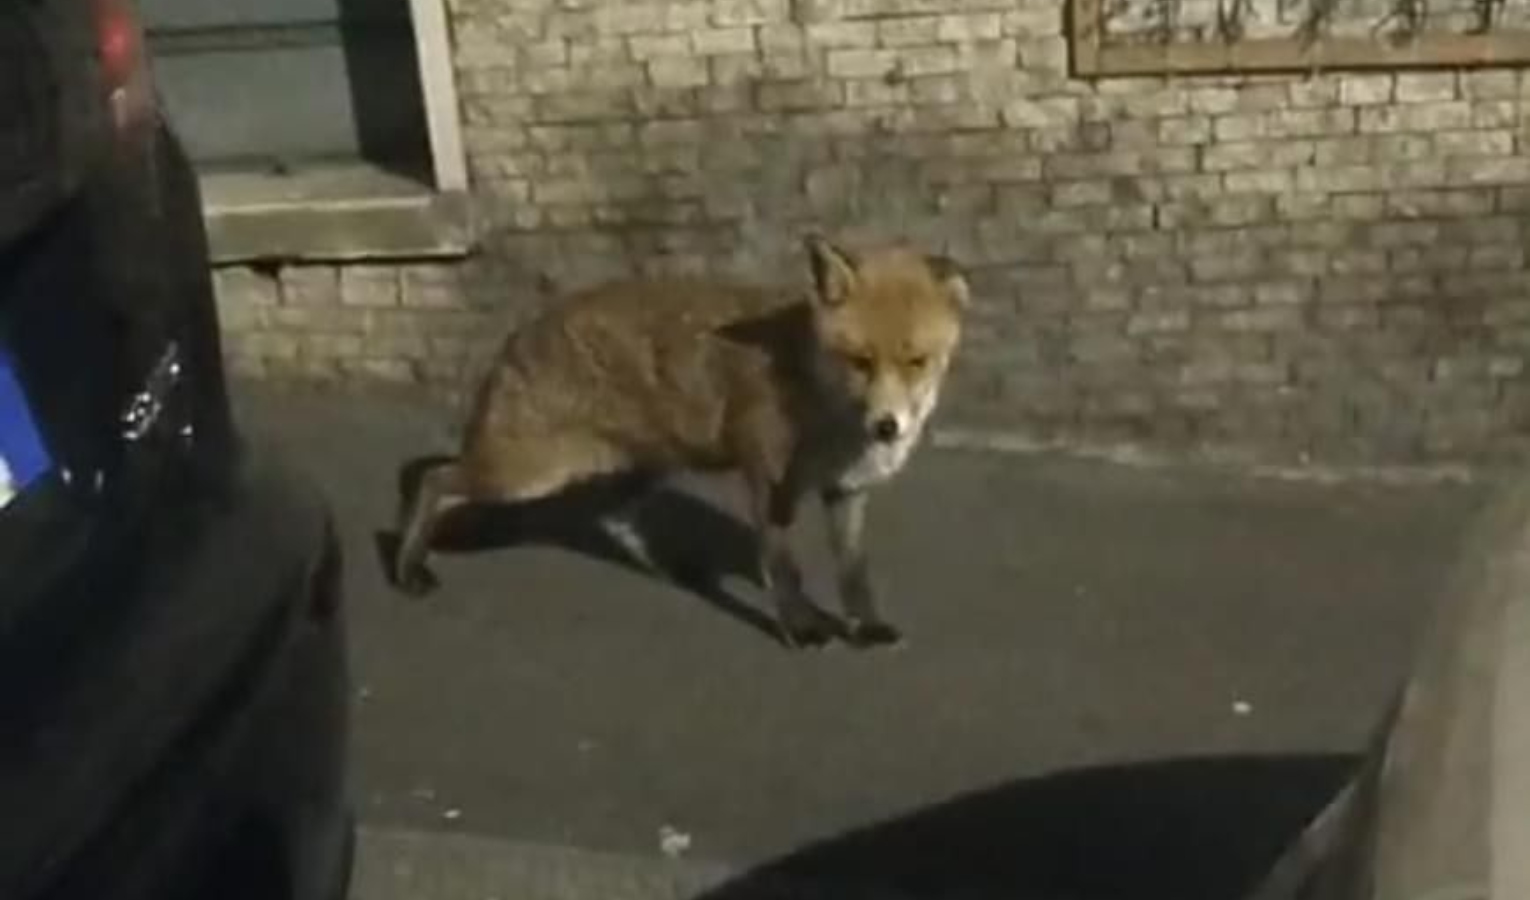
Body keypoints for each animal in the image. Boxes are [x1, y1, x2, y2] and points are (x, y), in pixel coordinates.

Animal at [394, 235, 966, 648]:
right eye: (860, 362)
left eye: (917, 362)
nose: (887, 427)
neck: (818, 399)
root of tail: (519, 331)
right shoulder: (768, 482)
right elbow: (783, 566)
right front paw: (801, 626)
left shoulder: (846, 492)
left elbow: (854, 574)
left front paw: (865, 627)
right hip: (528, 473)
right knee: (434, 479)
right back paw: (407, 569)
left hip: (638, 468)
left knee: (611, 517)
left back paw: (676, 571)